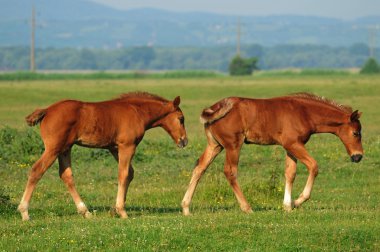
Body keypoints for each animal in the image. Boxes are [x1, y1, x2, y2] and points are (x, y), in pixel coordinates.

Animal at [17, 92, 187, 220]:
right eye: (181, 119)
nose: (184, 141)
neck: (137, 111)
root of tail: (47, 110)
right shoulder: (127, 146)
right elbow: (123, 174)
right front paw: (122, 211)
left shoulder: (114, 148)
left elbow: (129, 174)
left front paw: (115, 209)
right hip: (53, 148)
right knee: (36, 170)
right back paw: (24, 212)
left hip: (65, 149)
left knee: (66, 175)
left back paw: (85, 211)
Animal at [183, 92, 364, 215]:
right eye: (356, 133)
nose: (358, 156)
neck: (304, 112)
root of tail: (214, 109)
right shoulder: (293, 144)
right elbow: (314, 166)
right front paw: (297, 201)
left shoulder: (291, 146)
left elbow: (290, 173)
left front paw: (287, 206)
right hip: (233, 145)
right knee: (230, 171)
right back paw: (247, 207)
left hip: (215, 145)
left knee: (199, 168)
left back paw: (186, 208)